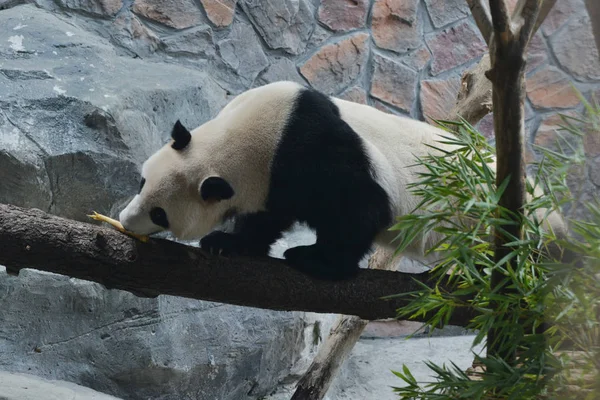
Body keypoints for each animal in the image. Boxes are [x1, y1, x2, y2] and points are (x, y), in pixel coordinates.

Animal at [118, 80, 568, 282]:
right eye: (141, 182)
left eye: (160, 214)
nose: (125, 220)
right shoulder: (272, 179)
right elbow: (267, 218)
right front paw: (226, 243)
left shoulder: (311, 152)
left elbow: (360, 210)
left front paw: (313, 259)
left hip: (498, 224)